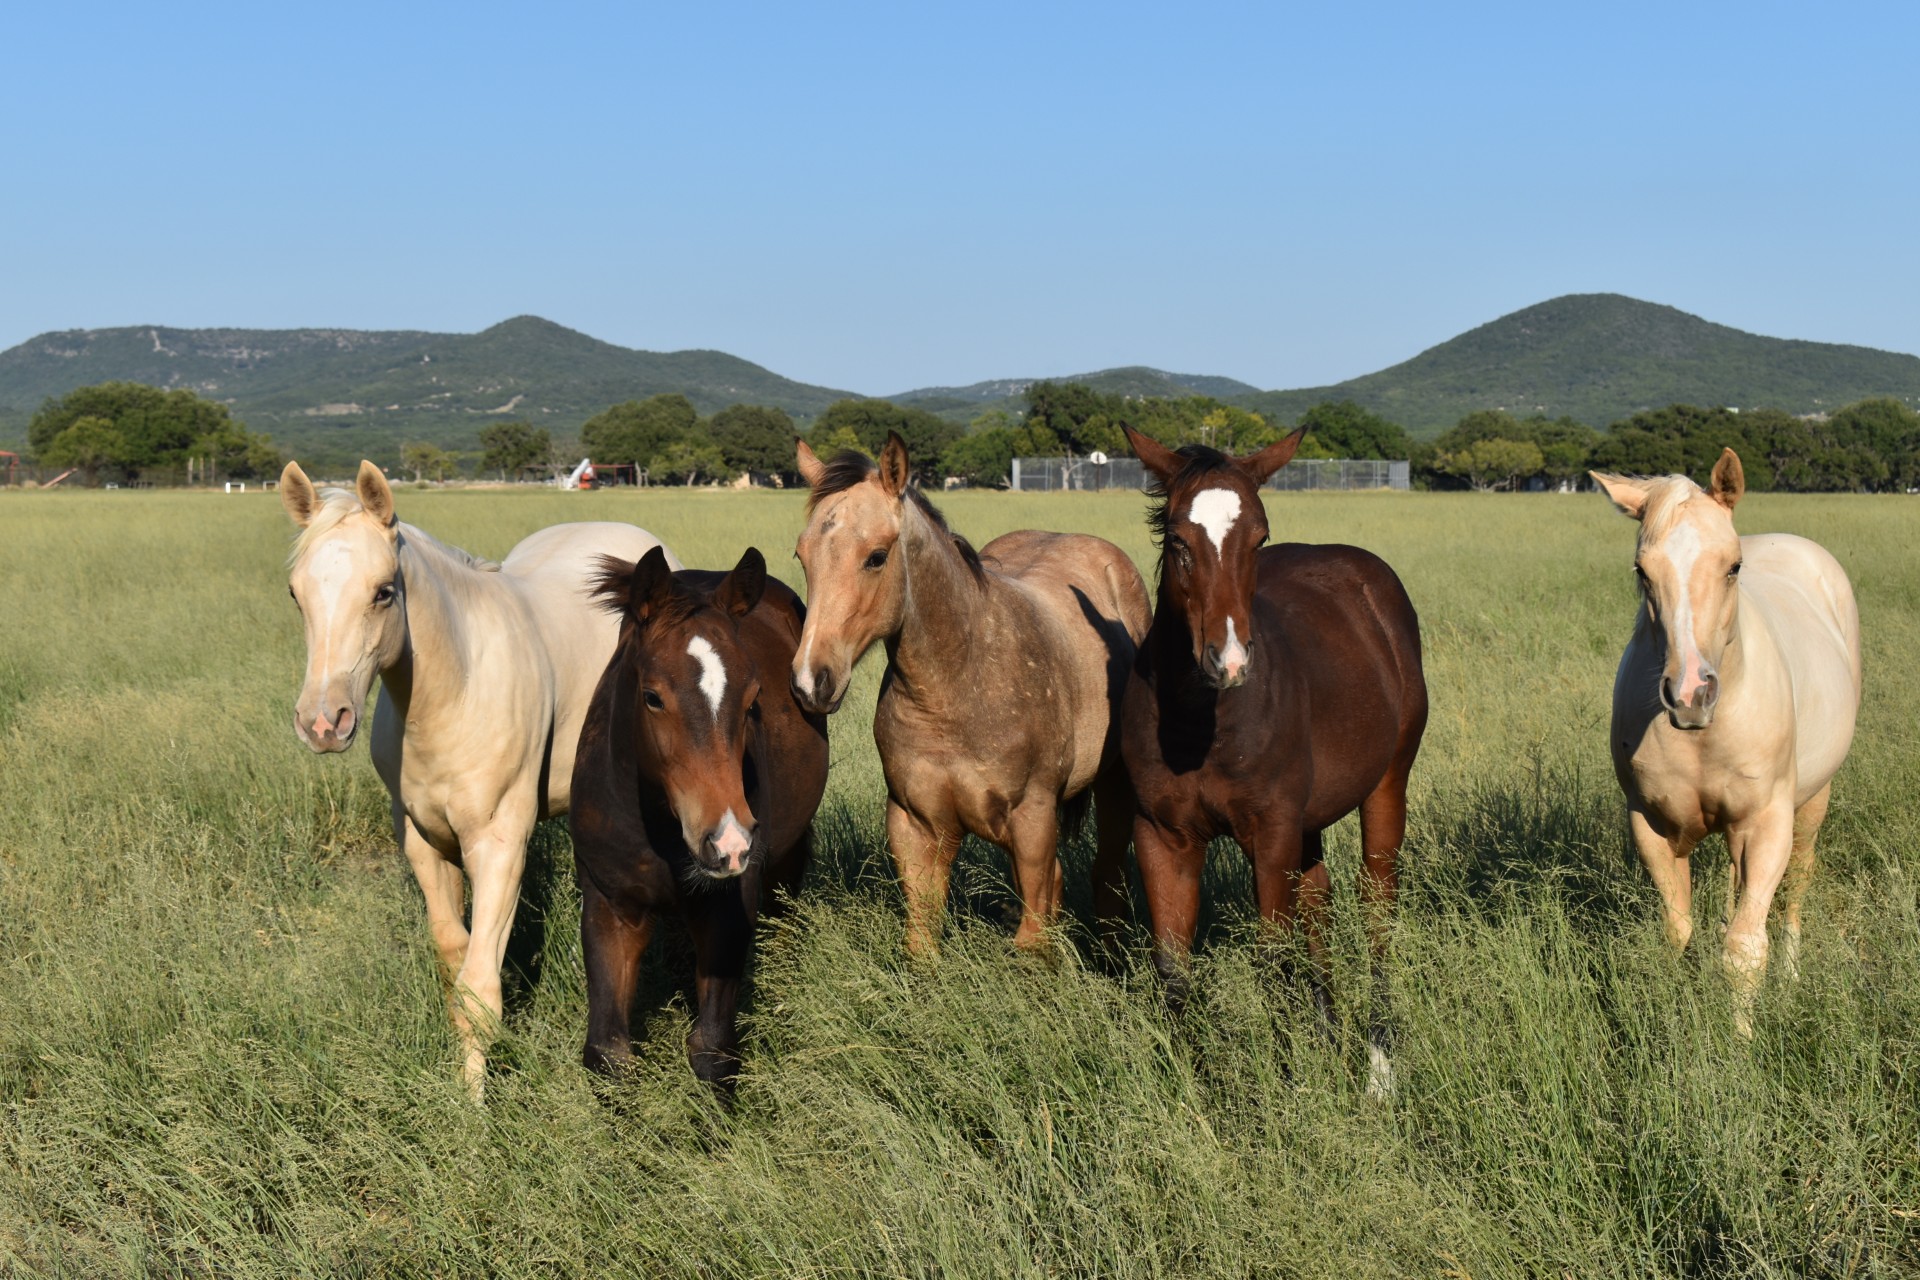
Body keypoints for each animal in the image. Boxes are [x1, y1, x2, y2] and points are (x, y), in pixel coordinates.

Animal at [278, 460, 681, 1099]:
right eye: (296, 593)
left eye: (383, 591)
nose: (323, 722)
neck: (455, 689)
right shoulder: (423, 840)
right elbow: (455, 959)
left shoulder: (498, 844)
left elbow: (478, 992)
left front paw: (473, 1107)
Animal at [569, 546, 827, 1090]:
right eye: (652, 697)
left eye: (753, 699)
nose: (728, 842)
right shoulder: (607, 905)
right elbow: (608, 1051)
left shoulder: (726, 909)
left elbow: (713, 1050)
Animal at [790, 433, 1151, 956]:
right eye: (802, 555)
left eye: (876, 556)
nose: (809, 681)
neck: (956, 689)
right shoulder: (915, 827)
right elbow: (923, 940)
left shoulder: (1034, 822)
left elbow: (1033, 940)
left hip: (1115, 786)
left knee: (1107, 876)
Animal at [1118, 425, 1427, 1094]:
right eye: (1178, 540)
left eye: (1259, 536)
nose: (1229, 660)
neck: (1199, 726)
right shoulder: (1162, 835)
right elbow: (1174, 970)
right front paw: (1197, 1097)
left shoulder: (1271, 830)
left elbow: (1274, 960)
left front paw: (1291, 1089)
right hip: (1308, 821)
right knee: (1319, 899)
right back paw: (1332, 1036)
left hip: (1386, 786)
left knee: (1377, 906)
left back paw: (1378, 1065)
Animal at [1591, 450, 1860, 1033]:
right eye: (1642, 572)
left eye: (1734, 566)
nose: (1690, 693)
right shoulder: (1651, 824)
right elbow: (1677, 934)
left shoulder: (1766, 824)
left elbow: (1744, 949)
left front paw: (1740, 1041)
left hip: (1812, 804)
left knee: (1793, 893)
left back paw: (1791, 978)